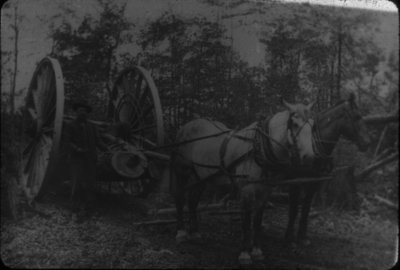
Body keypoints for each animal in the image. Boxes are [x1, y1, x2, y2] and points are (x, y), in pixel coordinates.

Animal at [284, 93, 372, 247]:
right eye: (357, 116)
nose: (367, 143)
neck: (313, 144)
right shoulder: (294, 181)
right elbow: (294, 208)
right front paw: (289, 236)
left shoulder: (314, 182)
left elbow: (306, 208)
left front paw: (302, 236)